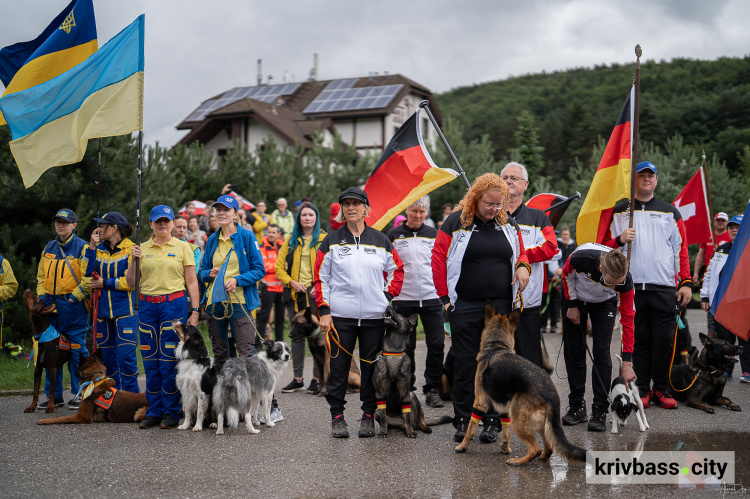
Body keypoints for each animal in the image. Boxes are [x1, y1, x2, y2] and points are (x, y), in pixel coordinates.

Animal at [376, 306, 434, 440]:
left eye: (399, 314)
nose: (388, 306)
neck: (393, 352)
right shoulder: (380, 395)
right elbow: (383, 418)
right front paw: (383, 431)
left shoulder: (405, 393)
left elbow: (407, 415)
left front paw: (410, 432)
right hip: (378, 413)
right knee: (402, 423)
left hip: (413, 396)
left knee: (418, 420)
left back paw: (421, 427)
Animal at [456, 300, 592, 468]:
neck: (496, 345)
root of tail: (551, 395)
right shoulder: (505, 407)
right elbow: (505, 432)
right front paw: (505, 448)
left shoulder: (480, 402)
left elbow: (470, 428)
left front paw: (462, 446)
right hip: (539, 423)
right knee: (549, 447)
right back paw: (541, 458)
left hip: (518, 419)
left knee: (536, 449)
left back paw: (517, 461)